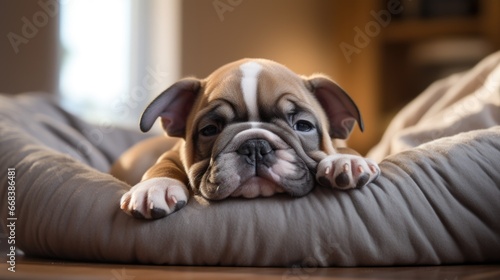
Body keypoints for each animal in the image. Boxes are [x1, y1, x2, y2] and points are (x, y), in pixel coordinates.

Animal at [118, 58, 378, 219]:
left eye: (303, 126)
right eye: (209, 130)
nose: (255, 145)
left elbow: (342, 150)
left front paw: (346, 160)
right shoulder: (172, 153)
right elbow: (163, 165)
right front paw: (155, 187)